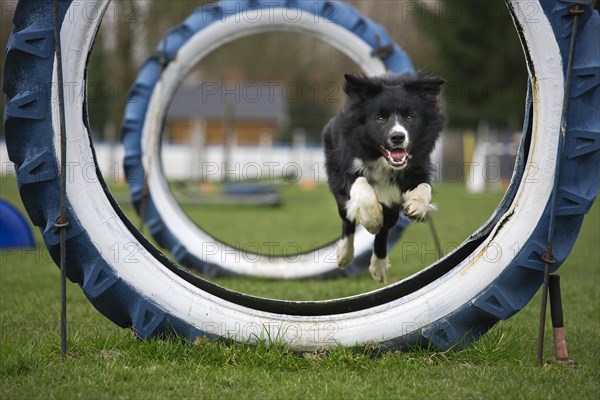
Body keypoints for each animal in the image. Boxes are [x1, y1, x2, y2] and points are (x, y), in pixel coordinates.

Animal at [324, 73, 446, 282]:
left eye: (410, 117)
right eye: (379, 118)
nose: (398, 137)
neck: (383, 162)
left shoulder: (417, 165)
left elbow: (424, 186)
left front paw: (416, 207)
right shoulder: (345, 168)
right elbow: (361, 183)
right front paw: (372, 219)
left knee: (386, 229)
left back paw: (379, 268)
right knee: (348, 221)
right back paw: (344, 255)